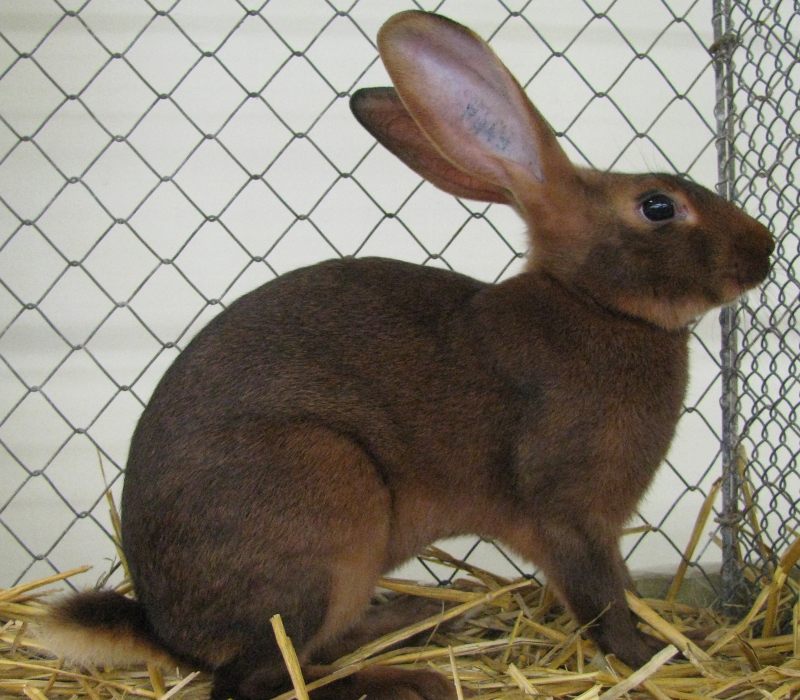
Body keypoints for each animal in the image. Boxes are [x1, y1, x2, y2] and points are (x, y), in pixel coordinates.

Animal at [39, 9, 776, 700]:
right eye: (658, 206)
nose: (764, 249)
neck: (593, 302)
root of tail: (167, 630)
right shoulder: (569, 513)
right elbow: (601, 601)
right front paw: (655, 655)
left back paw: (415, 619)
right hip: (323, 510)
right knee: (258, 678)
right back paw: (407, 678)